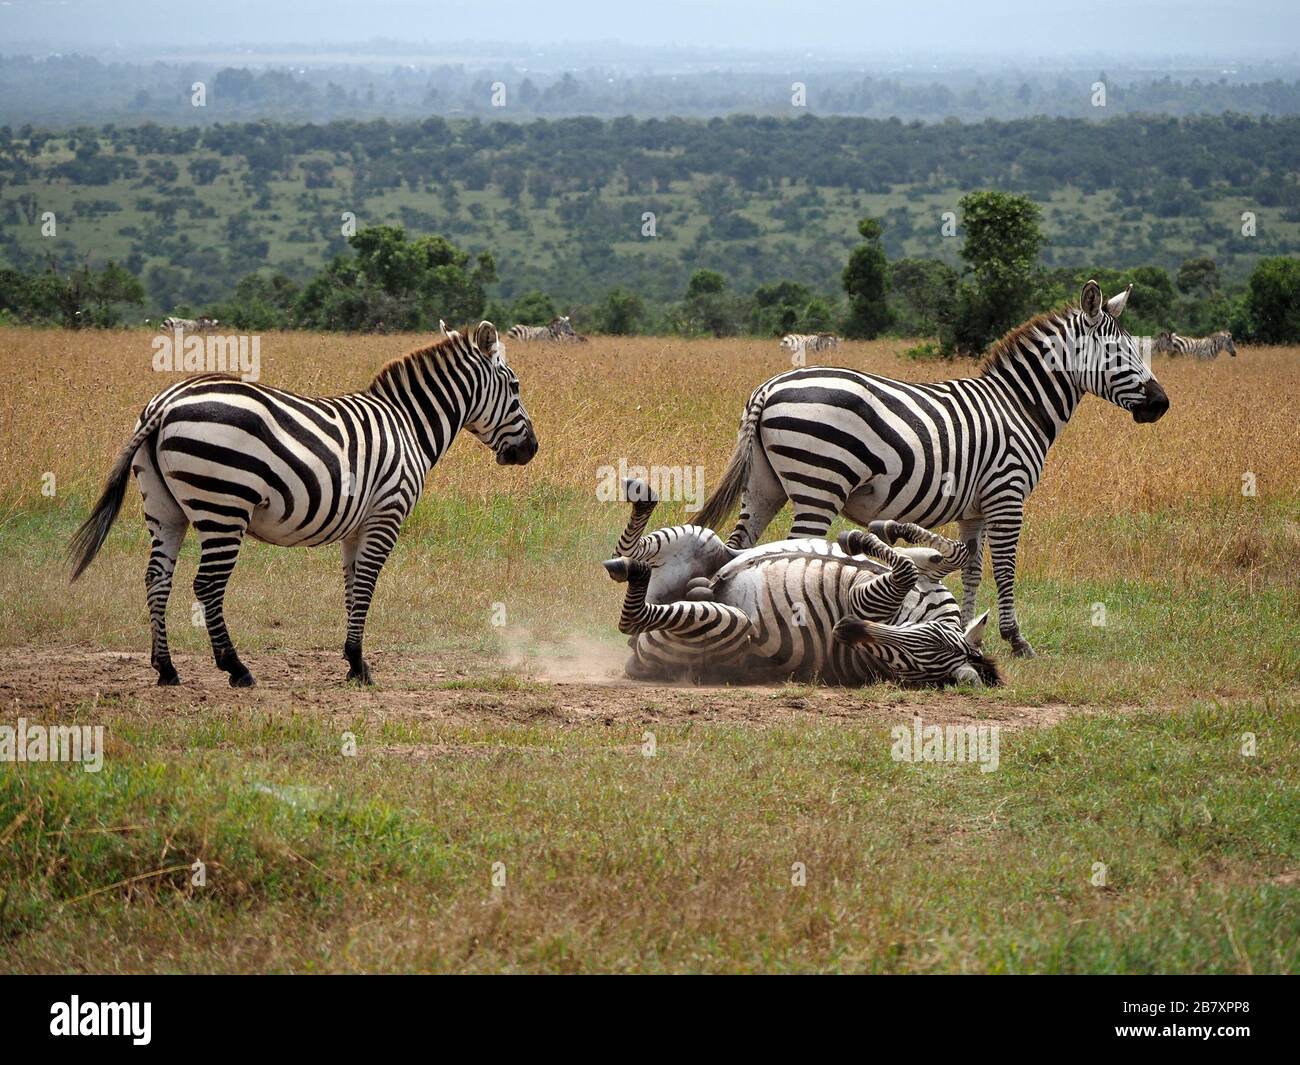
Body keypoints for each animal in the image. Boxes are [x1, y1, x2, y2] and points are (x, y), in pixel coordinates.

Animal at [68, 321, 537, 688]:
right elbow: (367, 586)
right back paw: (236, 668)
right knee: (207, 585)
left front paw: (352, 660)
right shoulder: (387, 513)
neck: (408, 426)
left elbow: (351, 587)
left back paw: (166, 668)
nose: (531, 449)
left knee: (156, 578)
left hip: (165, 509)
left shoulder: (356, 525)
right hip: (224, 505)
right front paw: (359, 666)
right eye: (515, 387)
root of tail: (166, 402)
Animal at [604, 479, 1000, 687]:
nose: (845, 628)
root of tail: (635, 658)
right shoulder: (931, 582)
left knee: (633, 618)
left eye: (903, 665)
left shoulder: (863, 601)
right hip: (701, 540)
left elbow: (905, 569)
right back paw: (638, 509)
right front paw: (878, 530)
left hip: (729, 625)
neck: (916, 611)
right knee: (629, 553)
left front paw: (861, 538)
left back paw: (634, 571)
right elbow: (949, 553)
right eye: (923, 636)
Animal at [696, 280, 1169, 658]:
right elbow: (1005, 568)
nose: (1161, 404)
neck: (1020, 407)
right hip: (820, 482)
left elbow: (974, 569)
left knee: (739, 546)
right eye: (1118, 352)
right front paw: (1017, 641)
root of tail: (769, 387)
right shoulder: (1007, 496)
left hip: (764, 485)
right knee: (798, 547)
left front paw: (968, 631)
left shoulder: (975, 510)